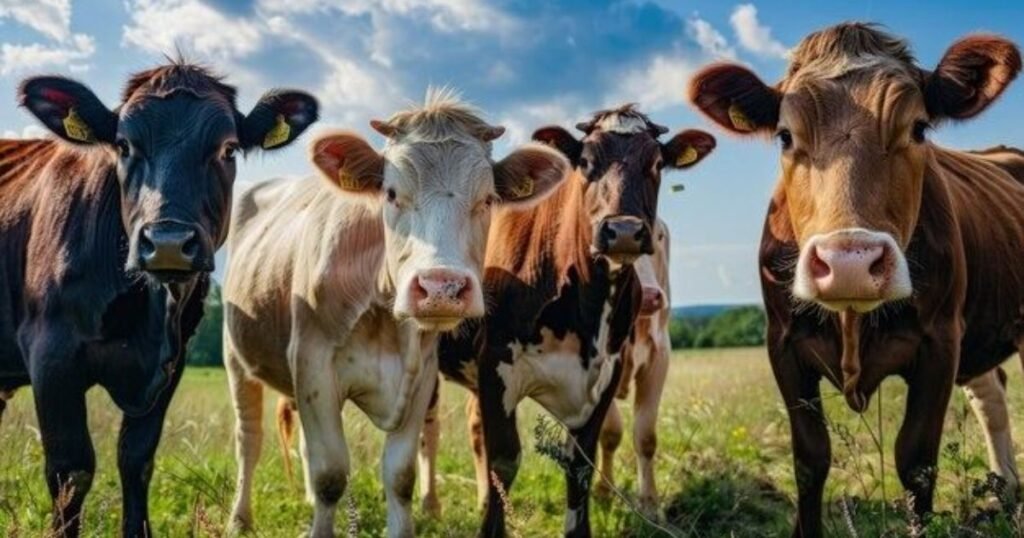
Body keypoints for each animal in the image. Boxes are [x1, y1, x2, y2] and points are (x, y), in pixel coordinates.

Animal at [0, 61, 317, 537]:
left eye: (227, 149)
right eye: (123, 145)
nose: (168, 243)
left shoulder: (174, 362)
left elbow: (136, 460)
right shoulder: (51, 355)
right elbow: (71, 471)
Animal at [222, 90, 569, 537]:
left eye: (489, 199)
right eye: (390, 193)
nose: (442, 288)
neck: (382, 310)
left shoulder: (421, 373)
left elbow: (400, 475)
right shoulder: (313, 365)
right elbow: (330, 473)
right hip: (235, 357)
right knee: (248, 437)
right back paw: (239, 517)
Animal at [434, 105, 715, 537]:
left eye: (656, 163)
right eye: (585, 162)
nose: (624, 231)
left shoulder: (608, 371)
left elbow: (582, 463)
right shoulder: (496, 362)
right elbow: (504, 460)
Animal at [688, 22, 1024, 536]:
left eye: (918, 128)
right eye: (784, 136)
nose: (849, 262)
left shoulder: (941, 339)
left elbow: (916, 460)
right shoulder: (782, 342)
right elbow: (810, 458)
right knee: (992, 397)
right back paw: (1003, 494)